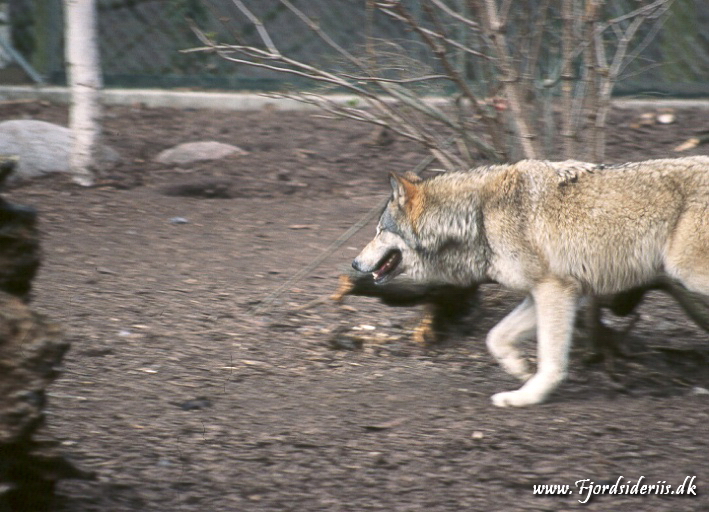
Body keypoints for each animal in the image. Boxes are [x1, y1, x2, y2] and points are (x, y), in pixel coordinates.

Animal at [352, 158, 708, 406]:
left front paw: (527, 396)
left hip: (687, 272)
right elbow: (495, 337)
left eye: (379, 232)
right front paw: (520, 369)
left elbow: (551, 360)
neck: (478, 216)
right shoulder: (550, 294)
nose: (354, 263)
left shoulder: (555, 290)